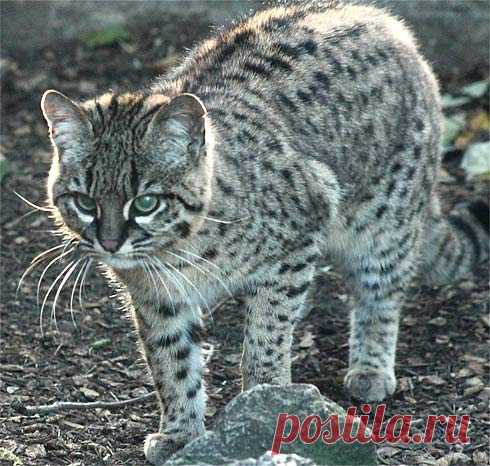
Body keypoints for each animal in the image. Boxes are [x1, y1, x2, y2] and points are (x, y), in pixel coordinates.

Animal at [40, 1, 488, 464]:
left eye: (146, 202)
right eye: (84, 201)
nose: (110, 242)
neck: (180, 249)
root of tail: (388, 24)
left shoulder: (294, 248)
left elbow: (265, 338)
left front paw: (266, 400)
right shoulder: (156, 297)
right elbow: (172, 361)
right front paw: (181, 433)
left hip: (385, 219)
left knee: (380, 290)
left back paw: (371, 368)